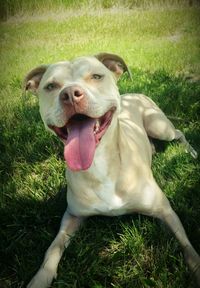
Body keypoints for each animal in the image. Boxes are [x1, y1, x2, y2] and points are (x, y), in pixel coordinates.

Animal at [24, 53, 199, 286]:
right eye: (51, 86)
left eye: (97, 76)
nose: (70, 94)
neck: (99, 164)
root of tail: (133, 94)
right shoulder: (72, 216)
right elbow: (52, 249)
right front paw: (39, 279)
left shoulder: (165, 212)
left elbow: (187, 247)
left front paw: (197, 269)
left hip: (159, 126)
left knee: (178, 133)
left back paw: (191, 152)